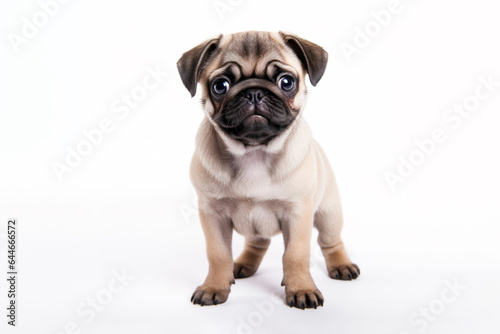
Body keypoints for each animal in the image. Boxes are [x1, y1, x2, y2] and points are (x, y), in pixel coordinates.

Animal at [178, 31, 358, 310]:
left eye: (286, 82)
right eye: (220, 86)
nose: (253, 92)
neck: (254, 151)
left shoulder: (298, 214)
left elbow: (295, 255)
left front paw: (302, 289)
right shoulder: (212, 213)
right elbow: (218, 254)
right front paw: (214, 286)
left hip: (329, 211)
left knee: (330, 240)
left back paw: (341, 265)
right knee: (257, 242)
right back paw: (242, 265)